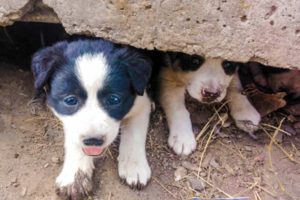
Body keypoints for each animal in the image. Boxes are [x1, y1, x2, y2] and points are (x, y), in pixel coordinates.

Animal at [31, 39, 152, 198]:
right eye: (70, 100)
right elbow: (74, 139)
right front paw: (74, 176)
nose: (93, 141)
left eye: (114, 99)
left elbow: (134, 133)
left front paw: (134, 166)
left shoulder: (142, 103)